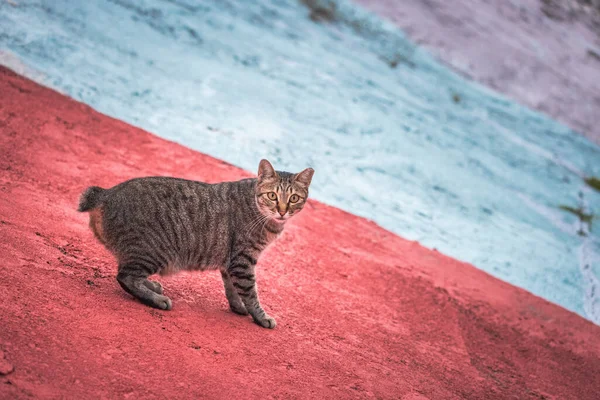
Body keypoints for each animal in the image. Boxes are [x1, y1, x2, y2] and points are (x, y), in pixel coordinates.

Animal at [76, 159, 314, 328]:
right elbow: (250, 293)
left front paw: (238, 307)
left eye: (293, 198)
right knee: (125, 277)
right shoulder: (243, 261)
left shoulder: (231, 263)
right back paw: (156, 299)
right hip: (155, 250)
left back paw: (152, 286)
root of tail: (106, 193)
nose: (282, 211)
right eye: (272, 195)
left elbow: (232, 290)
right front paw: (261, 317)